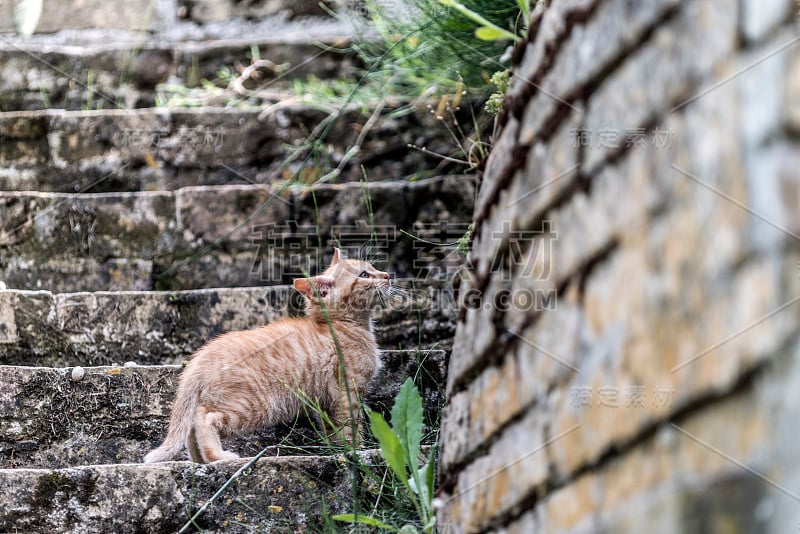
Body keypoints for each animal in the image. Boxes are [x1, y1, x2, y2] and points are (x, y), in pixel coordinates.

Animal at [148, 251, 394, 464]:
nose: (387, 275)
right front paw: (355, 451)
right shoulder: (348, 391)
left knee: (191, 426)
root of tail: (198, 361)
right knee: (204, 418)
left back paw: (199, 460)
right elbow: (351, 425)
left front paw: (336, 449)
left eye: (373, 268)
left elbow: (333, 429)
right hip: (254, 404)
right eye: (364, 275)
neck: (343, 325)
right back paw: (218, 457)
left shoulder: (325, 401)